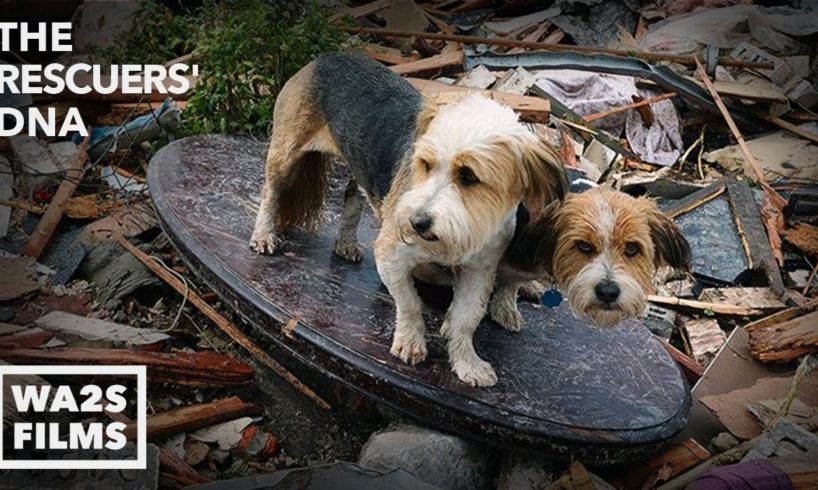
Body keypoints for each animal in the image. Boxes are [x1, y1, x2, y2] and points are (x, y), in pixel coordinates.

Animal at [249, 53, 568, 386]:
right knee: (271, 192)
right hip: (286, 153)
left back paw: (346, 242)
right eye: (425, 164)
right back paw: (263, 235)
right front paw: (411, 342)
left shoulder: (479, 272)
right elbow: (411, 304)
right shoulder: (391, 255)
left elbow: (466, 319)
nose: (416, 223)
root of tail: (327, 56)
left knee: (352, 196)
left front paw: (467, 363)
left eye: (469, 177)